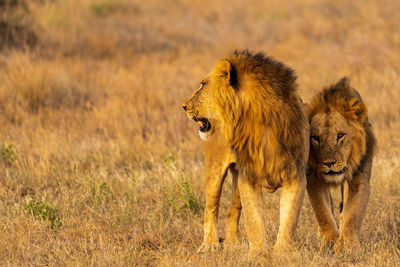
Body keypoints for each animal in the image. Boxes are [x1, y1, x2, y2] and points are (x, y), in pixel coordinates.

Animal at [182, 50, 310, 255]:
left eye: (202, 85)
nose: (184, 106)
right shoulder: (249, 178)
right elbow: (254, 220)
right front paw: (258, 254)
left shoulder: (295, 175)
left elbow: (289, 218)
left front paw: (282, 252)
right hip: (215, 170)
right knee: (211, 208)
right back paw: (209, 245)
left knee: (232, 211)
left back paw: (233, 243)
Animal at [306, 77, 376, 253]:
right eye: (315, 138)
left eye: (340, 135)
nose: (329, 163)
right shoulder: (313, 180)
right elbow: (323, 213)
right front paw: (329, 242)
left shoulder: (360, 180)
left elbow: (353, 215)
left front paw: (348, 246)